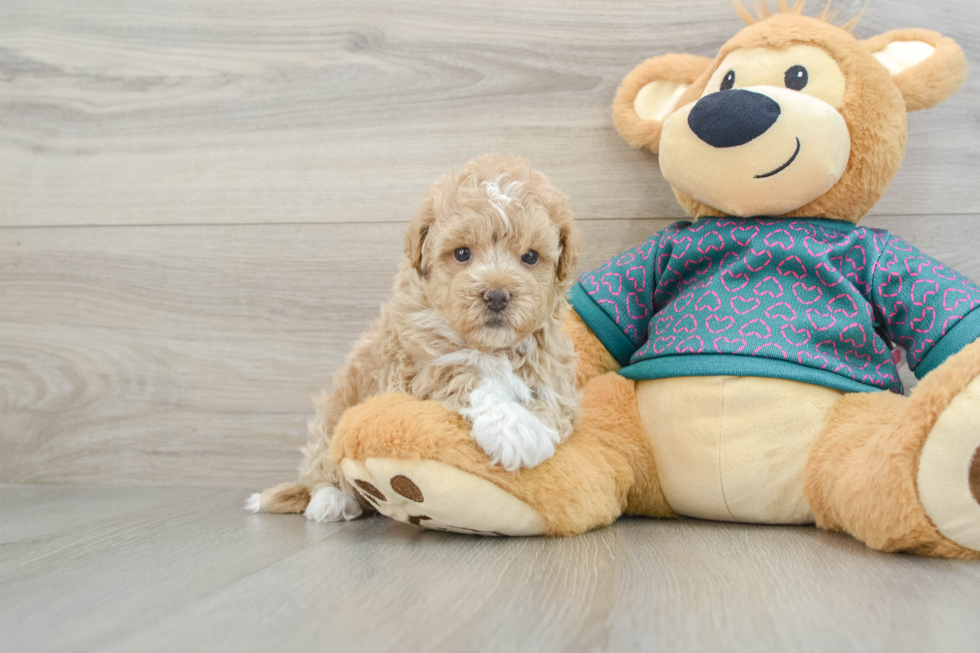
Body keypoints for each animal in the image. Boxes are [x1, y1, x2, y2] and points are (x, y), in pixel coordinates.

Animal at [249, 152, 580, 520]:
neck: (489, 346)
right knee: (321, 463)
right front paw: (513, 429)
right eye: (462, 253)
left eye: (530, 257)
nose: (496, 295)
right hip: (332, 417)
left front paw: (533, 427)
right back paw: (330, 499)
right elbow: (468, 378)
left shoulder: (550, 360)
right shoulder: (419, 366)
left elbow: (550, 398)